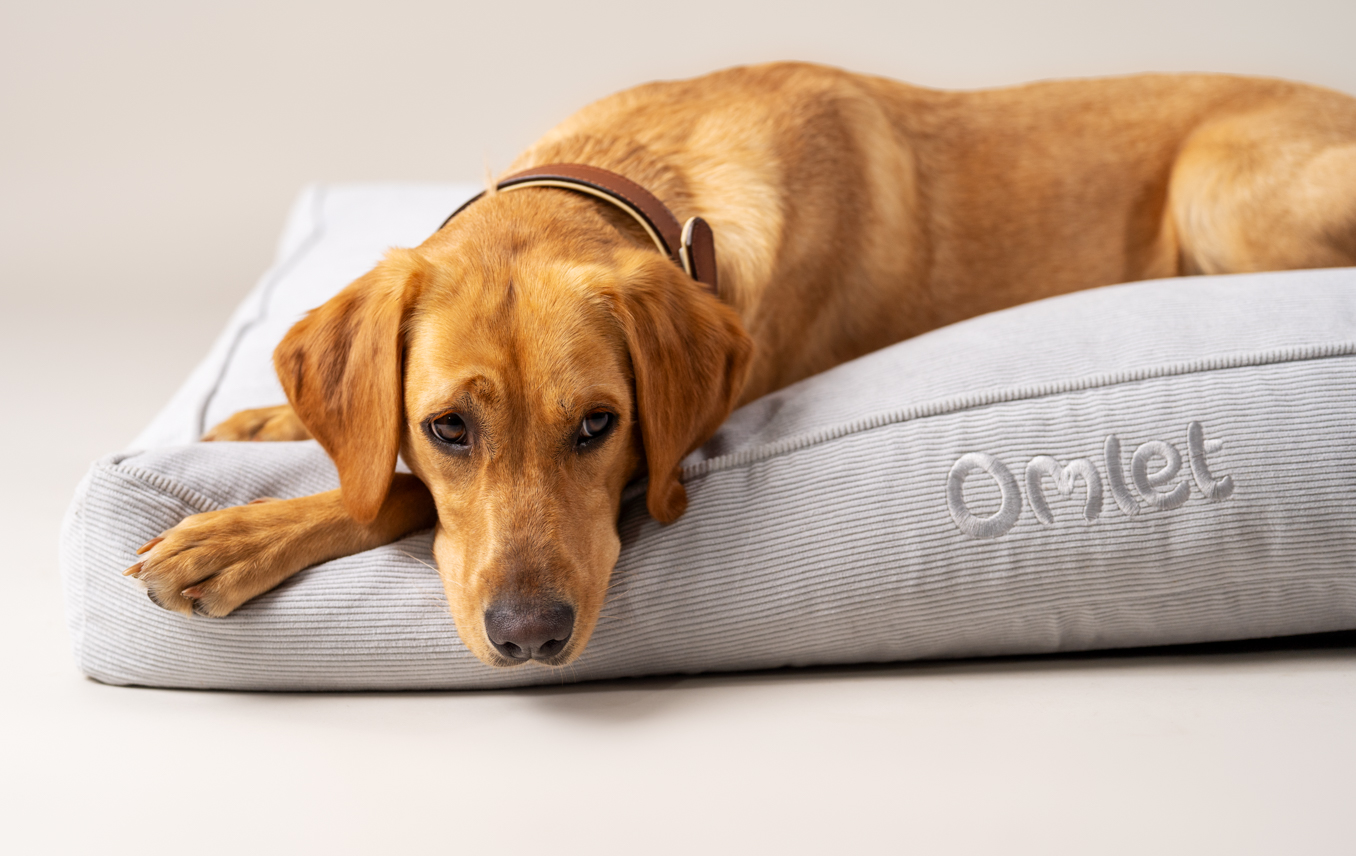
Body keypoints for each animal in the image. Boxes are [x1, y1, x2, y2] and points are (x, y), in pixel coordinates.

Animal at [122, 63, 1350, 670]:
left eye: (599, 426)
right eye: (448, 426)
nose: (529, 638)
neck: (640, 172)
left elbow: (389, 497)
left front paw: (240, 532)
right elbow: (359, 441)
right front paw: (261, 423)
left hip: (1221, 192)